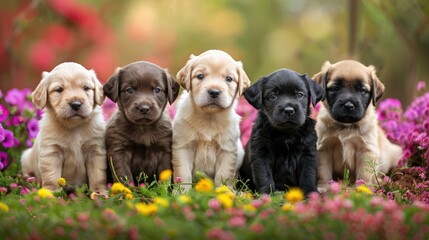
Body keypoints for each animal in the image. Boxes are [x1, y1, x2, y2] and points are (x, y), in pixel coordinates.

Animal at [20, 62, 108, 193]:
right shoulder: (51, 152)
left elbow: (98, 174)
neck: (74, 126)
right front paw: (51, 193)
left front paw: (99, 192)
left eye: (86, 88)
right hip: (26, 157)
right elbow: (51, 176)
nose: (76, 104)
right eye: (59, 90)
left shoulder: (95, 150)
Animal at [171, 49, 251, 190]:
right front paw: (181, 192)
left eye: (229, 78)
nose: (214, 92)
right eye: (200, 76)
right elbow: (183, 174)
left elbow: (223, 175)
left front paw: (224, 192)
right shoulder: (183, 146)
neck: (209, 117)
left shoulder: (227, 150)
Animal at [310, 60, 402, 191]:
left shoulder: (366, 150)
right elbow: (324, 172)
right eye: (335, 88)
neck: (345, 126)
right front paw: (324, 186)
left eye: (362, 90)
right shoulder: (324, 148)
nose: (349, 106)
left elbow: (364, 174)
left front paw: (363, 188)